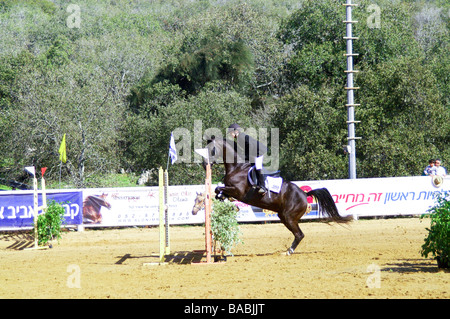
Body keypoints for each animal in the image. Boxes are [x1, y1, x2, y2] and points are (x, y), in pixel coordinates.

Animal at [205, 137, 352, 255]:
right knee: (298, 234)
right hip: (283, 216)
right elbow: (219, 190)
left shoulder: (238, 191)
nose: (205, 163)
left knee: (299, 234)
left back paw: (288, 252)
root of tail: (304, 194)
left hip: (289, 217)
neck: (237, 168)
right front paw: (225, 200)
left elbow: (219, 188)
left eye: (212, 150)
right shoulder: (231, 190)